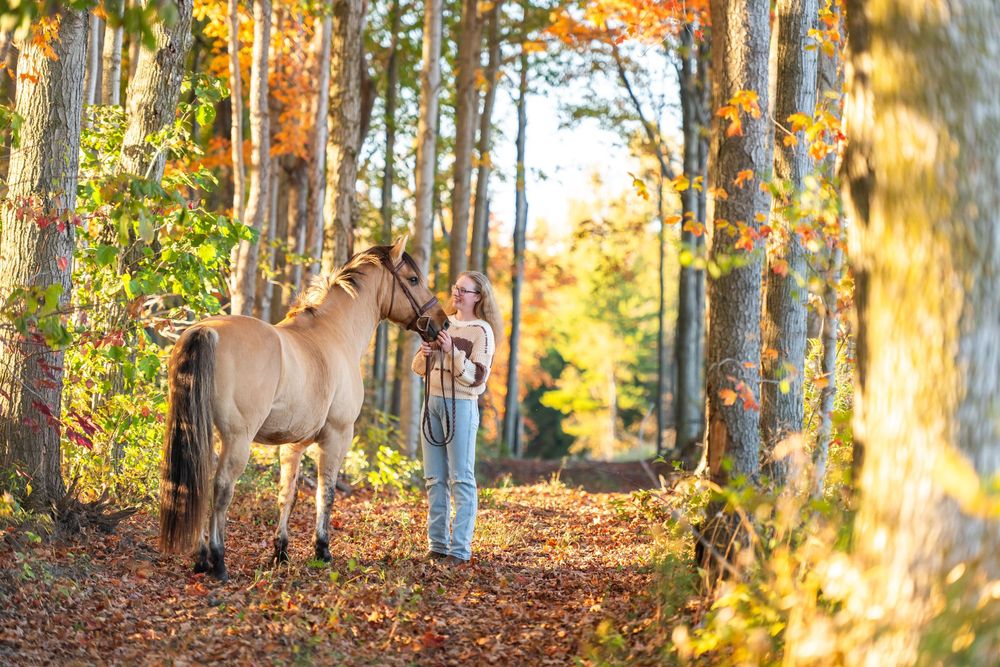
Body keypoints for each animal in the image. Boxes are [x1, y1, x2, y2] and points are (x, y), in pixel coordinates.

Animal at [158, 237, 449, 581]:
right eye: (413, 279)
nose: (443, 322)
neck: (335, 333)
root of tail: (207, 330)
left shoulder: (292, 444)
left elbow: (289, 494)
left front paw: (280, 552)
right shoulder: (337, 436)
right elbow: (326, 493)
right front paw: (322, 550)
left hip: (207, 433)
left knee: (203, 483)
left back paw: (202, 559)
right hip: (237, 438)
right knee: (221, 489)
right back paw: (217, 561)